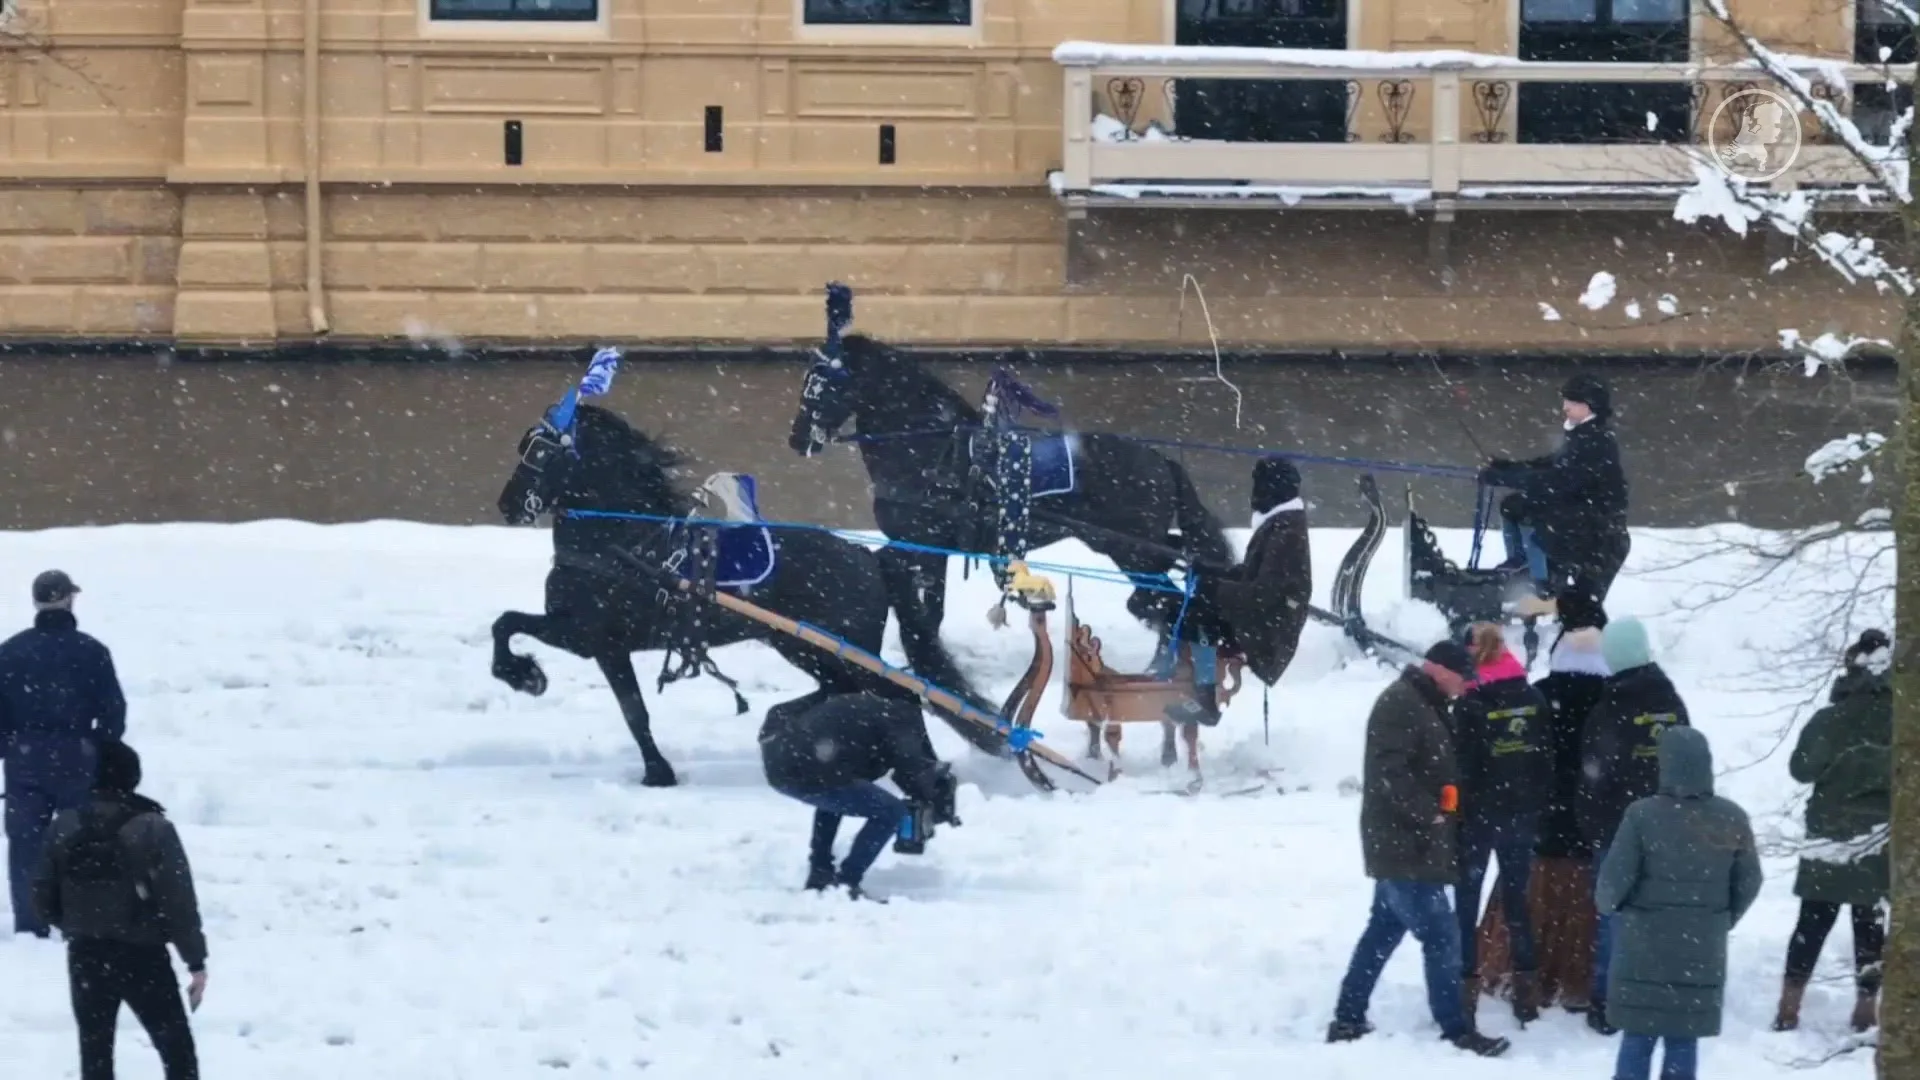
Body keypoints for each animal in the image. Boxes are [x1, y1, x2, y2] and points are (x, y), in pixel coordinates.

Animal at [491, 400, 1003, 787]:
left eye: (539, 453)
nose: (508, 504)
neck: (625, 542)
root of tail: (866, 556)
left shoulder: (585, 636)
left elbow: (509, 624)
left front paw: (524, 676)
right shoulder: (605, 646)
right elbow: (633, 710)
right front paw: (657, 770)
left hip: (837, 648)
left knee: (898, 697)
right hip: (803, 646)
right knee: (845, 693)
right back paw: (784, 723)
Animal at [786, 333, 1236, 669]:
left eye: (822, 383)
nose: (797, 438)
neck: (932, 451)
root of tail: (1160, 460)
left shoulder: (922, 543)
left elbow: (927, 614)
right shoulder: (930, 548)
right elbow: (931, 611)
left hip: (1132, 551)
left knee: (1162, 598)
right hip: (1127, 546)